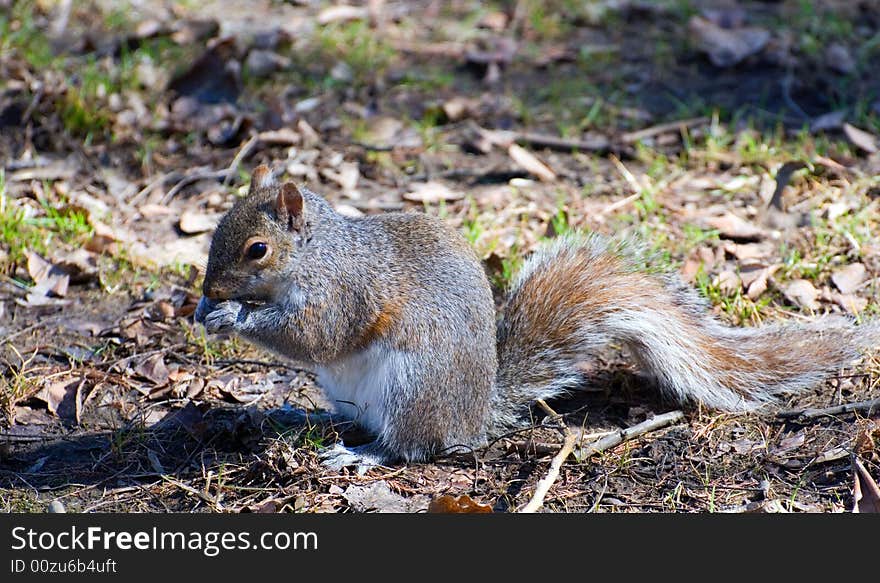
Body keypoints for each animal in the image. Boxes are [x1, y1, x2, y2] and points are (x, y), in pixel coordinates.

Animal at [194, 164, 880, 470]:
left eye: (256, 250)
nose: (206, 292)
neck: (319, 254)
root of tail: (476, 414)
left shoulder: (349, 291)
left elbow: (318, 335)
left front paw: (234, 315)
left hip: (413, 387)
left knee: (412, 447)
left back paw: (364, 457)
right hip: (356, 395)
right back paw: (307, 419)